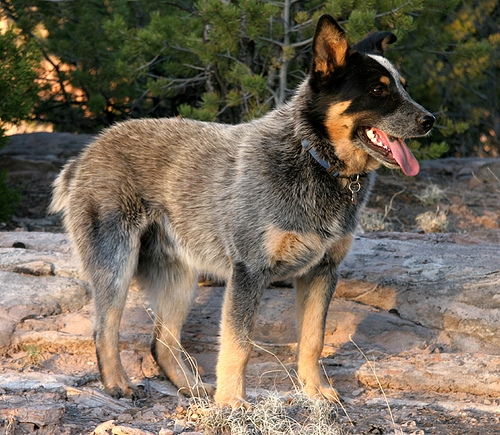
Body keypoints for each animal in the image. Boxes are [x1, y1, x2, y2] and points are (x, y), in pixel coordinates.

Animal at [49, 14, 434, 408]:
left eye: (403, 87)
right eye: (377, 91)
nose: (430, 120)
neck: (313, 158)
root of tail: (88, 151)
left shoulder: (322, 271)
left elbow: (313, 340)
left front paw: (314, 390)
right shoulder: (249, 270)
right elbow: (239, 345)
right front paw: (232, 401)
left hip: (180, 278)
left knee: (161, 343)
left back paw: (194, 389)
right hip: (116, 264)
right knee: (105, 328)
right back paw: (118, 383)